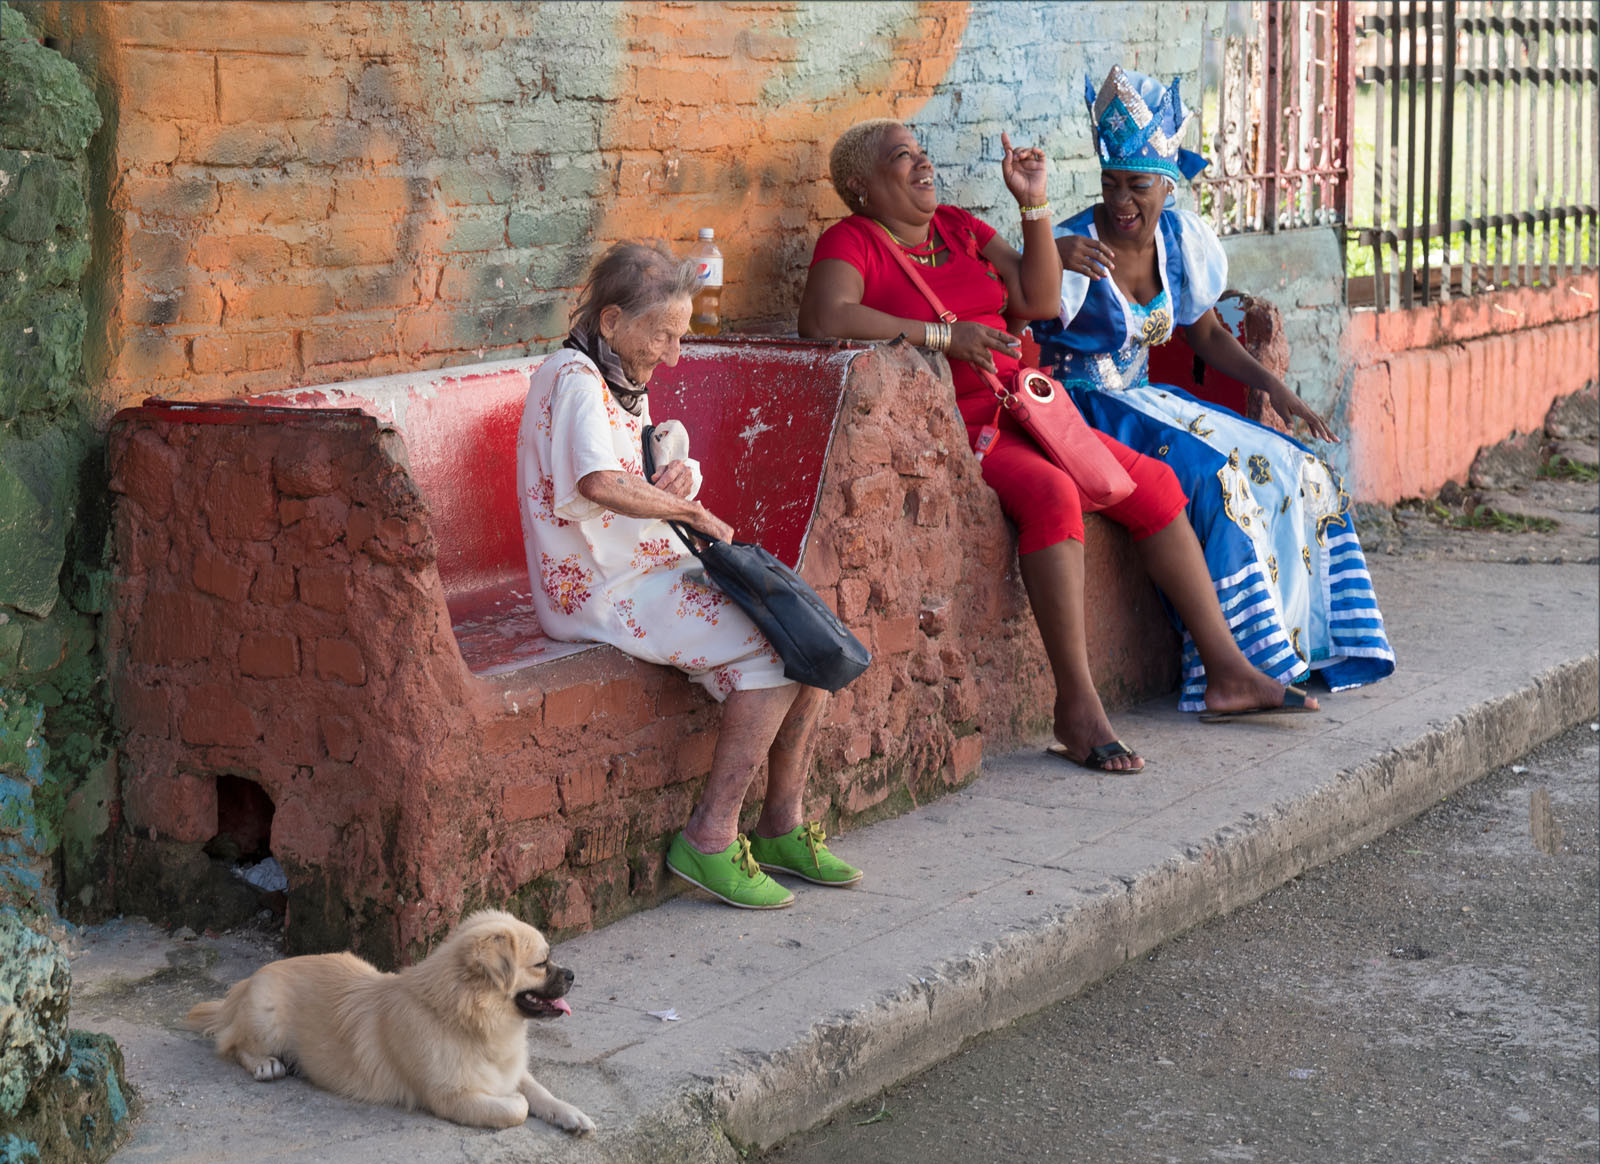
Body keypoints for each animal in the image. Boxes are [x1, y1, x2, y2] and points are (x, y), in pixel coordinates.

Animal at [183, 901, 595, 1132]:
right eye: (541, 964)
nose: (573, 974)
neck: (466, 1019)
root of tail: (247, 982)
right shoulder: (450, 1098)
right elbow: (518, 1107)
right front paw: (519, 1103)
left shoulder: (512, 1071)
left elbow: (540, 1093)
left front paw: (571, 1115)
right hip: (266, 1016)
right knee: (232, 1042)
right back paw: (266, 1064)